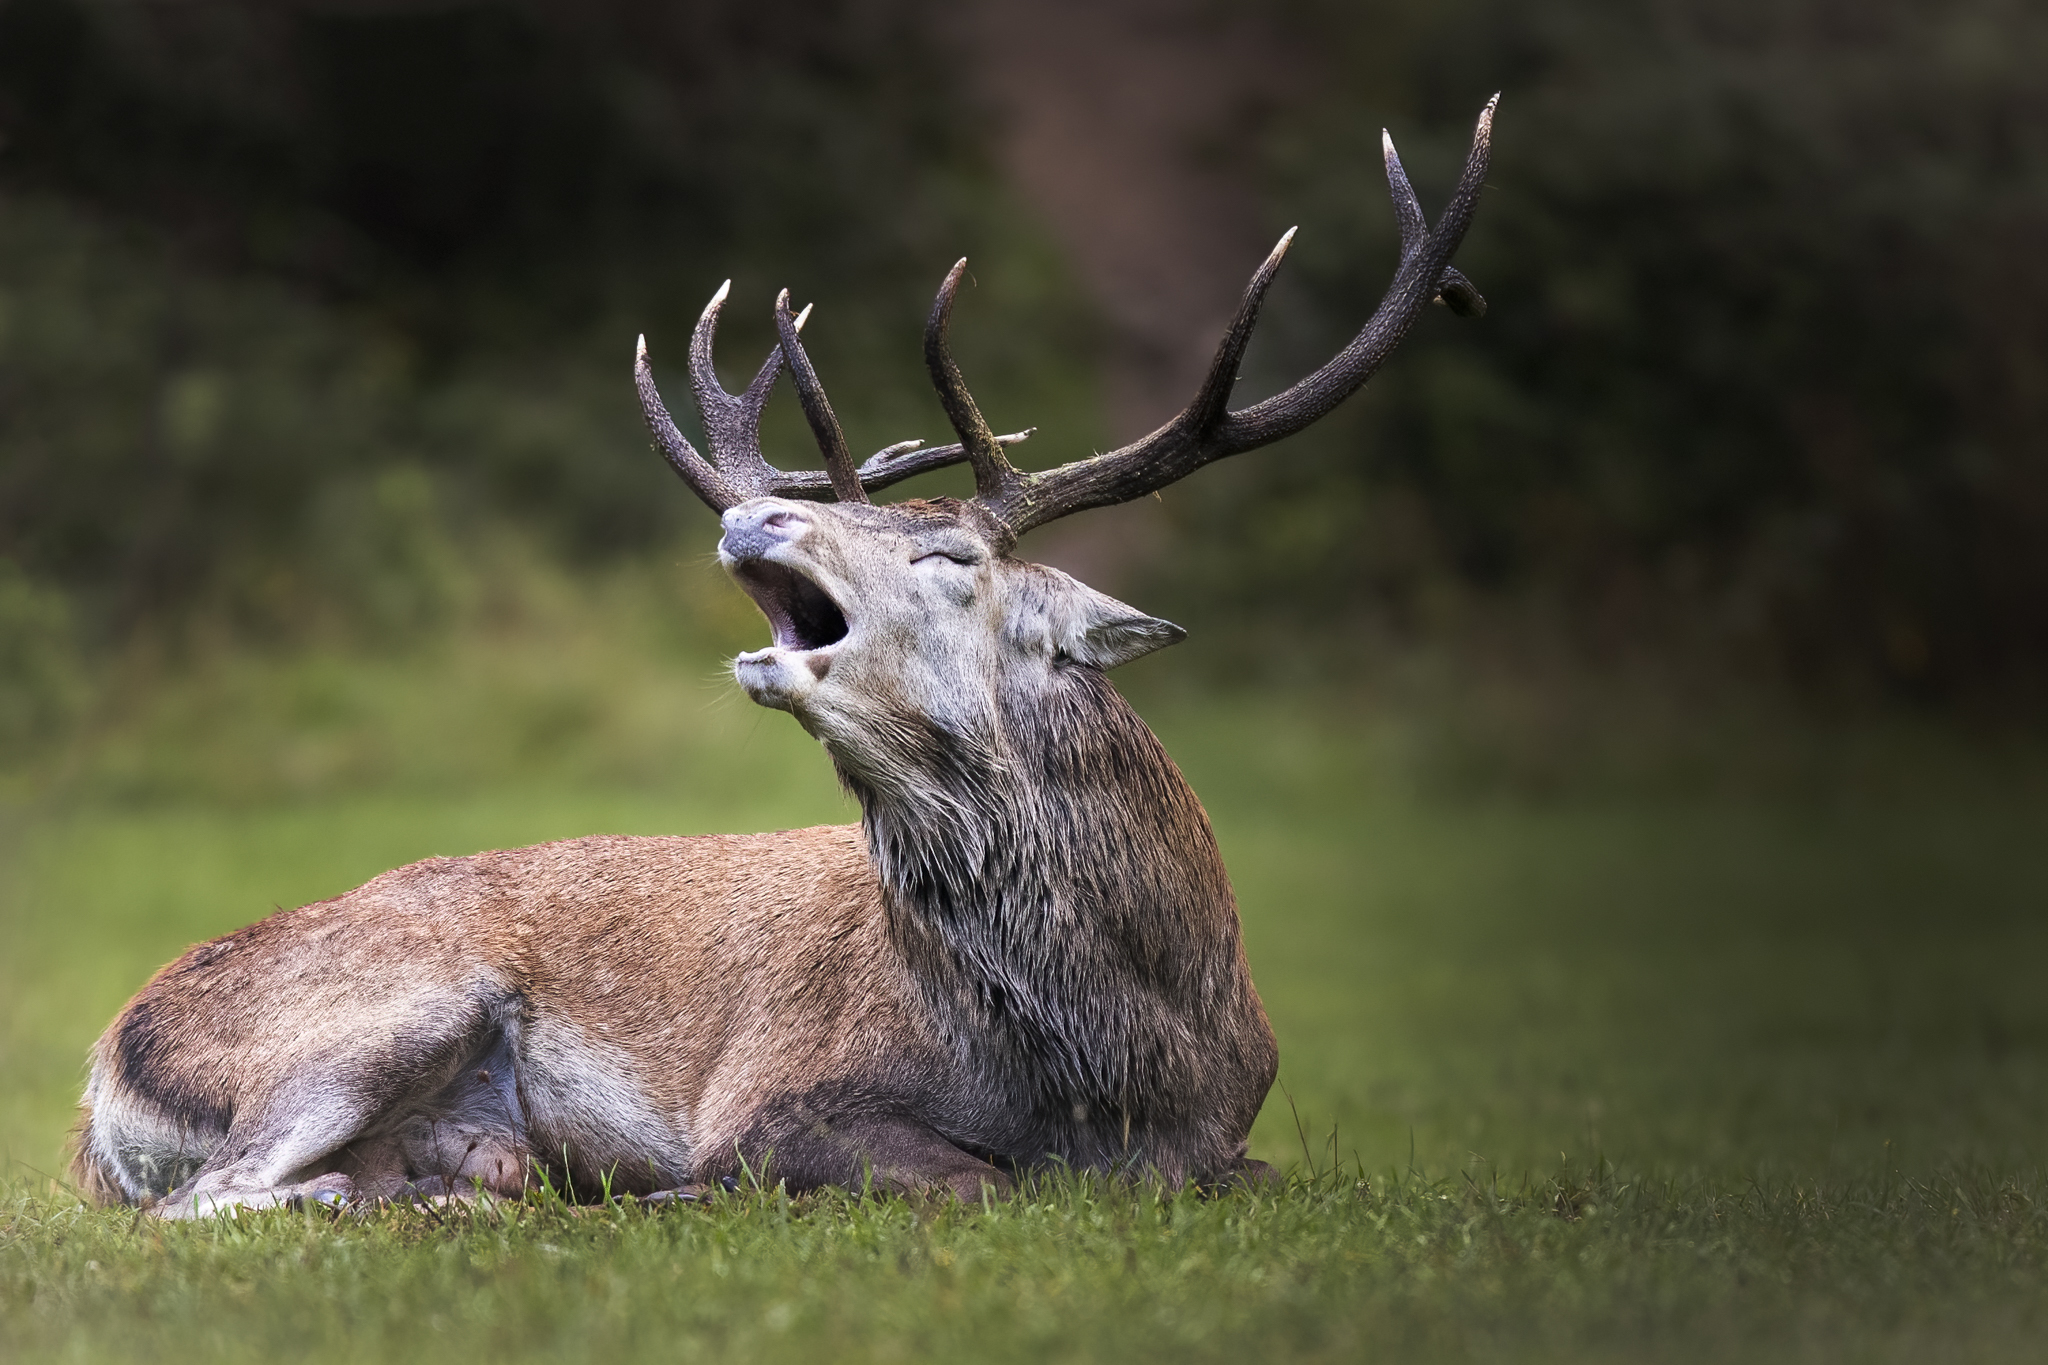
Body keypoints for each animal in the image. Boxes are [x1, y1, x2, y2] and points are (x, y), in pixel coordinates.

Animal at [69, 100, 1495, 1218]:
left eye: (949, 556)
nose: (757, 513)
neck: (1127, 1067)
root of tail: (100, 1080)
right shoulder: (772, 1098)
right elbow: (968, 1182)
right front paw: (684, 1194)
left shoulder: (1236, 1135)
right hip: (382, 1009)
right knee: (209, 1200)